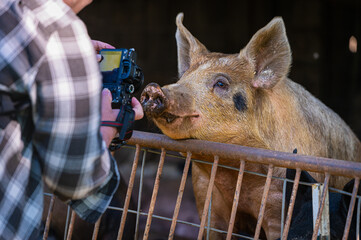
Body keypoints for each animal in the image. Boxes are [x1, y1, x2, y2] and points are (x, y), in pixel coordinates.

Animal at [140, 13, 360, 240]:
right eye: (183, 78)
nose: (154, 89)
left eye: (221, 83)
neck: (237, 173)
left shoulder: (280, 204)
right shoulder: (206, 196)